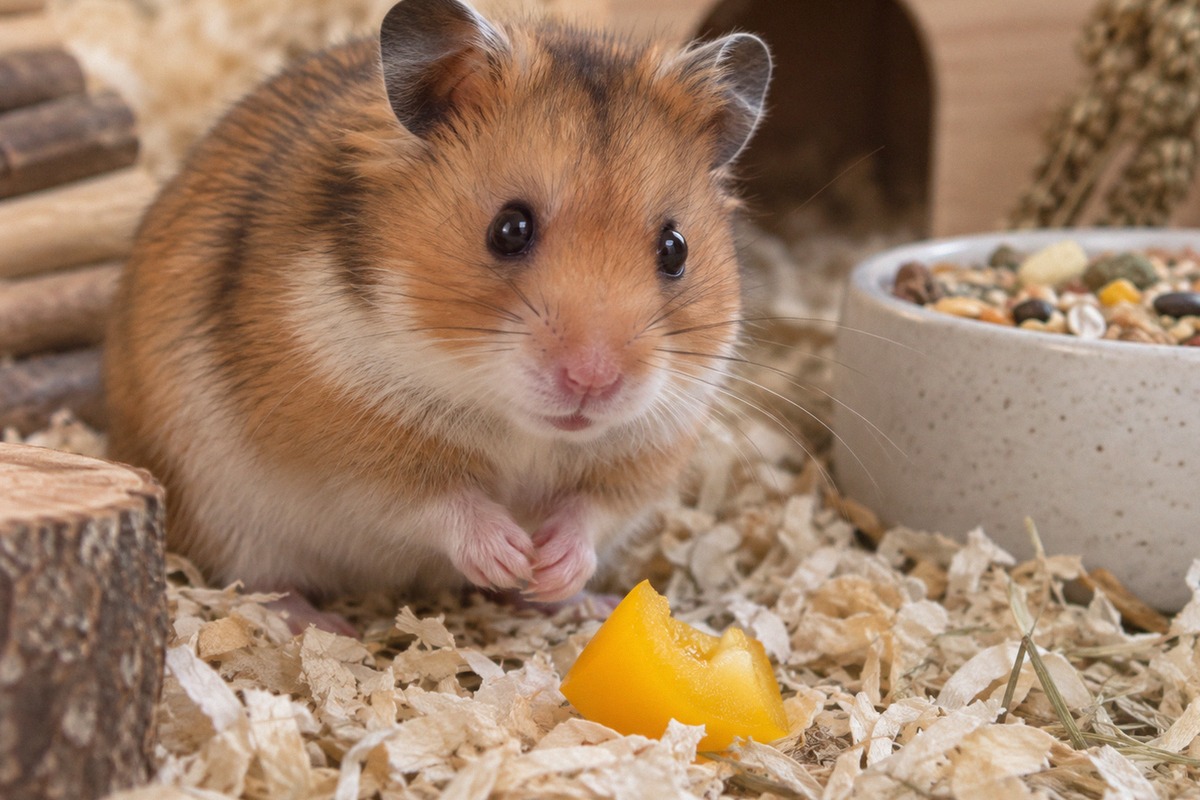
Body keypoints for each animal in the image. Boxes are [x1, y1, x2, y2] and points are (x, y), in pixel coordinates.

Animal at [104, 0, 771, 630]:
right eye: (509, 229)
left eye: (675, 249)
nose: (592, 381)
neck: (525, 428)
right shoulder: (352, 451)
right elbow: (438, 502)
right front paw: (509, 553)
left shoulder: (645, 457)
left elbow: (589, 512)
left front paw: (549, 567)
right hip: (225, 515)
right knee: (260, 583)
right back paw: (323, 624)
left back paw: (578, 603)